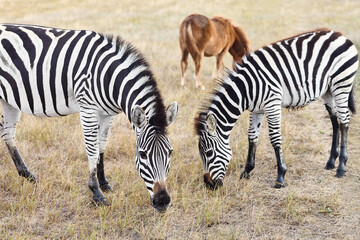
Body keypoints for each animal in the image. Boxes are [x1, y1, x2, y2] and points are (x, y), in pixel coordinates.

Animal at [0, 23, 178, 212]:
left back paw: (26, 174)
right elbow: (92, 150)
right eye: (143, 154)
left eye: (170, 152)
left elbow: (102, 146)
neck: (109, 77)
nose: (162, 201)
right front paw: (96, 192)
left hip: (9, 99)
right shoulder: (88, 109)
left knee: (7, 133)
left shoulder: (108, 114)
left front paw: (104, 182)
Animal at [195, 28, 358, 189]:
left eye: (208, 153)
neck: (247, 89)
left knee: (344, 121)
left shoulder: (272, 104)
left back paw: (341, 167)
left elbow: (274, 138)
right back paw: (331, 161)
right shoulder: (256, 110)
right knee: (335, 120)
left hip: (341, 84)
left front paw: (280, 176)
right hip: (328, 91)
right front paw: (247, 171)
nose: (209, 185)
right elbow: (252, 137)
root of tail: (338, 35)